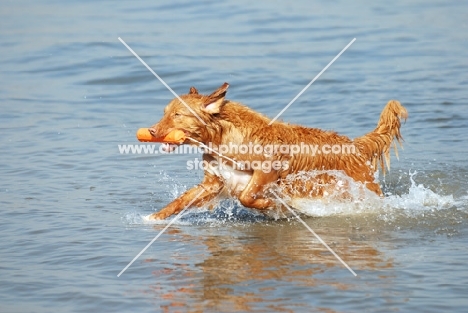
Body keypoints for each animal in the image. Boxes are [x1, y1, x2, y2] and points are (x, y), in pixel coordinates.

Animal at [145, 83, 406, 219]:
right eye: (165, 112)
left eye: (177, 114)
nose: (151, 130)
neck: (223, 140)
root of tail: (355, 144)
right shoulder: (213, 182)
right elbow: (180, 201)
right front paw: (153, 218)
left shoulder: (267, 171)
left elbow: (247, 197)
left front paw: (271, 205)